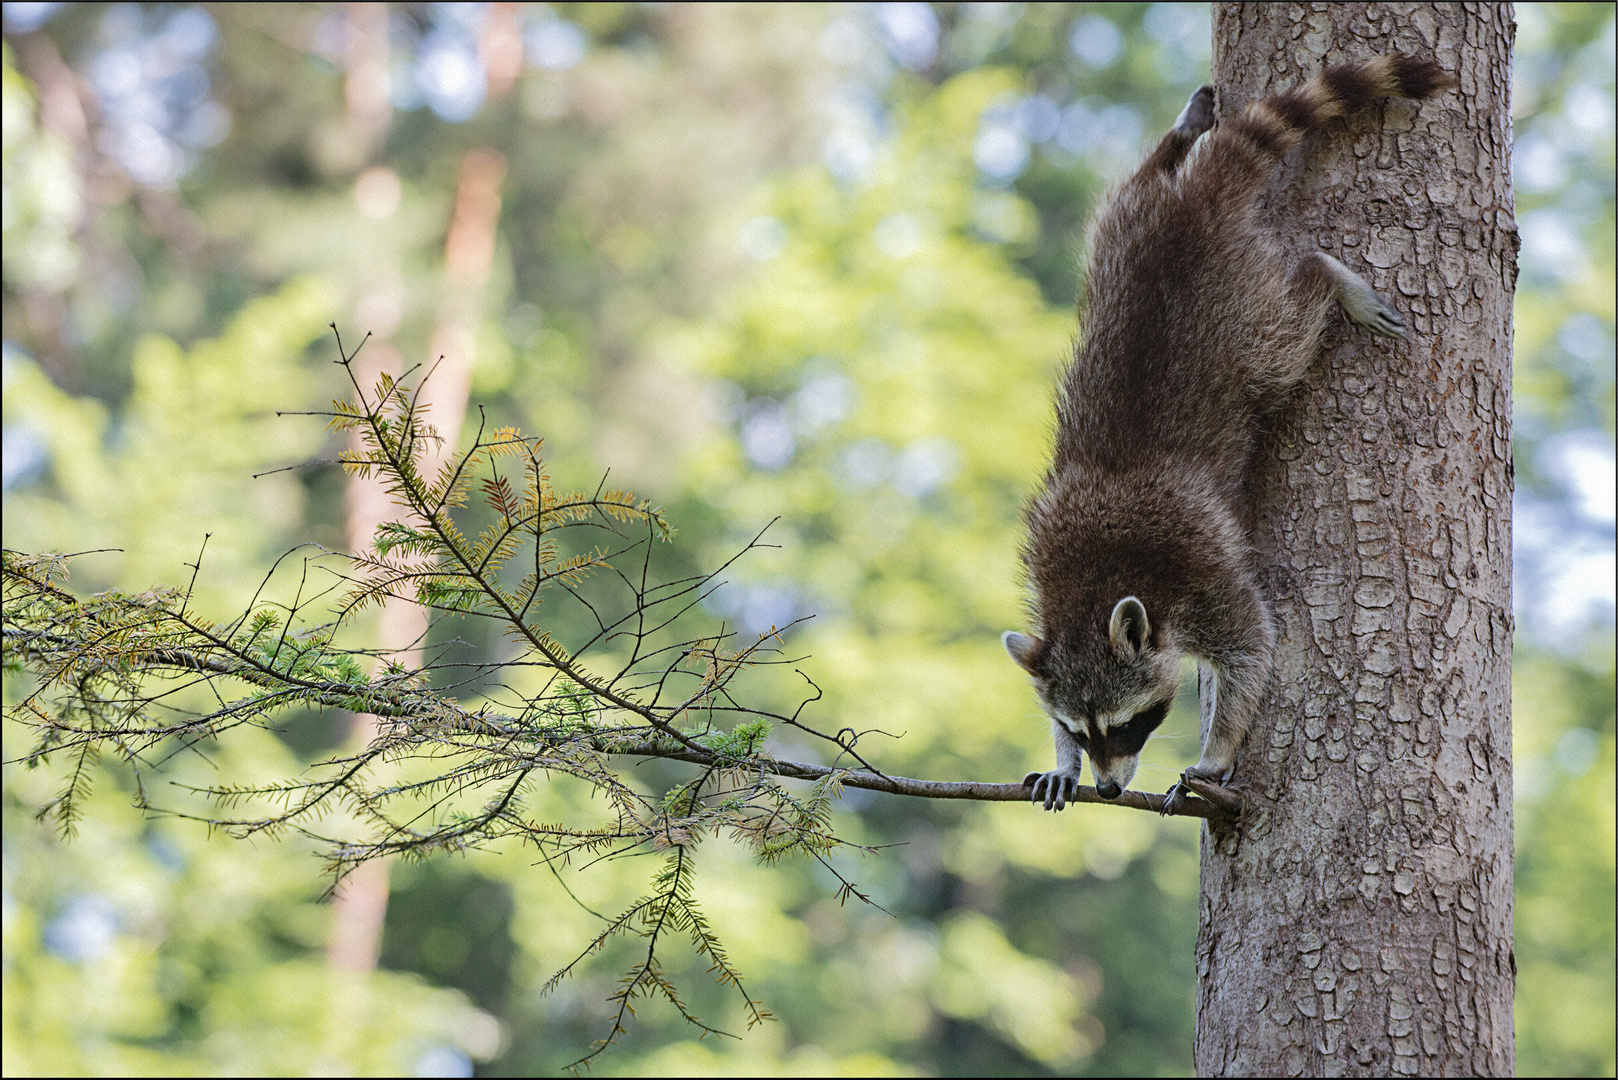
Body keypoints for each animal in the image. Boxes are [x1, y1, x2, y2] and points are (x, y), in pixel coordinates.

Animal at [1003, 52, 1462, 809]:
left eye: (1127, 725)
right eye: (1080, 727)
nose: (1107, 787)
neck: (1091, 591)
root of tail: (1195, 209)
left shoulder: (1200, 576)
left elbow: (1252, 648)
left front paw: (1216, 756)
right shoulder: (1048, 584)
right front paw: (1061, 760)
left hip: (1245, 311)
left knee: (1288, 329)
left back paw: (1326, 276)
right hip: (1121, 235)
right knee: (1137, 186)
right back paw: (1177, 142)